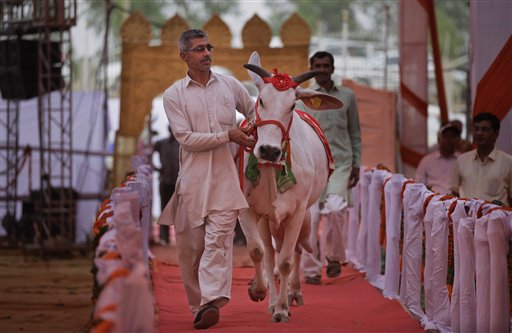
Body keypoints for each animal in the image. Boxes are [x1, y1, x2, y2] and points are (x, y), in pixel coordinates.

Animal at [237, 52, 342, 322]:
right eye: (261, 100)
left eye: (292, 106)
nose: (269, 150)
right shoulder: (248, 209)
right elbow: (257, 251)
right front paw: (258, 291)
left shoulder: (297, 211)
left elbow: (285, 261)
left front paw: (283, 309)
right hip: (267, 219)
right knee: (269, 253)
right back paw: (272, 299)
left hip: (304, 217)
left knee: (296, 251)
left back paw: (293, 293)